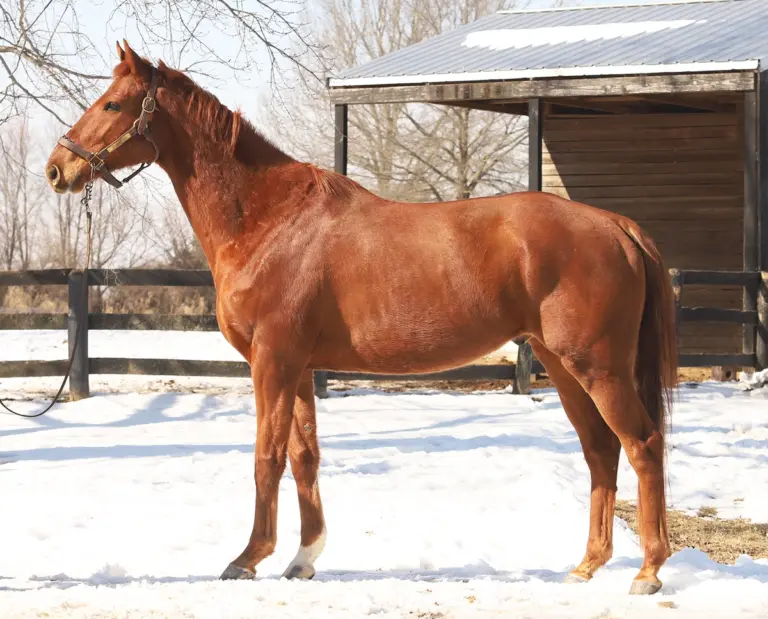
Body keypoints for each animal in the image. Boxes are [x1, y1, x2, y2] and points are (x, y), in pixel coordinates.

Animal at [46, 41, 677, 595]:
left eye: (112, 104)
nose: (57, 169)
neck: (269, 221)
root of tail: (616, 225)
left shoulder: (271, 363)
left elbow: (266, 458)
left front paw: (247, 559)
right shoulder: (299, 369)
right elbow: (304, 458)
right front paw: (303, 560)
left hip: (598, 368)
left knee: (642, 443)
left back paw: (648, 571)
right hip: (563, 366)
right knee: (600, 451)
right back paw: (587, 566)